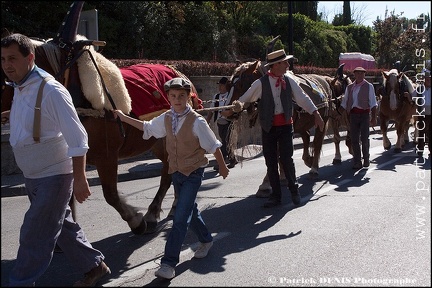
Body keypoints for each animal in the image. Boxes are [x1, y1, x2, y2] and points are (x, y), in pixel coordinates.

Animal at [0, 1, 203, 234]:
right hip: (160, 142)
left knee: (170, 172)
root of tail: (182, 76)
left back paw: (154, 213)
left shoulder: (107, 156)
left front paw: (135, 220)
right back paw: (173, 207)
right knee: (172, 169)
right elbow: (67, 200)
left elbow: (110, 195)